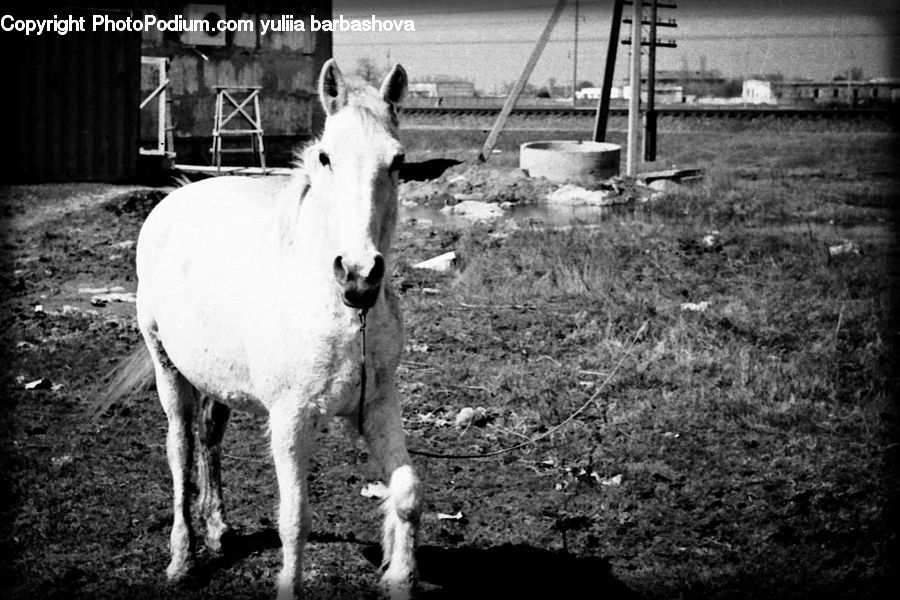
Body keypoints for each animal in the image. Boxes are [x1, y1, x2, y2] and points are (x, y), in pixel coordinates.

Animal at [107, 59, 421, 599]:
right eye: (325, 157)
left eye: (398, 161)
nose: (358, 276)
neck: (339, 316)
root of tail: (175, 198)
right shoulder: (291, 419)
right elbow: (294, 520)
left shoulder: (377, 408)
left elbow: (406, 495)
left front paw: (399, 577)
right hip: (169, 371)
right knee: (181, 451)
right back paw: (182, 559)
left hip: (217, 378)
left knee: (209, 439)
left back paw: (219, 531)